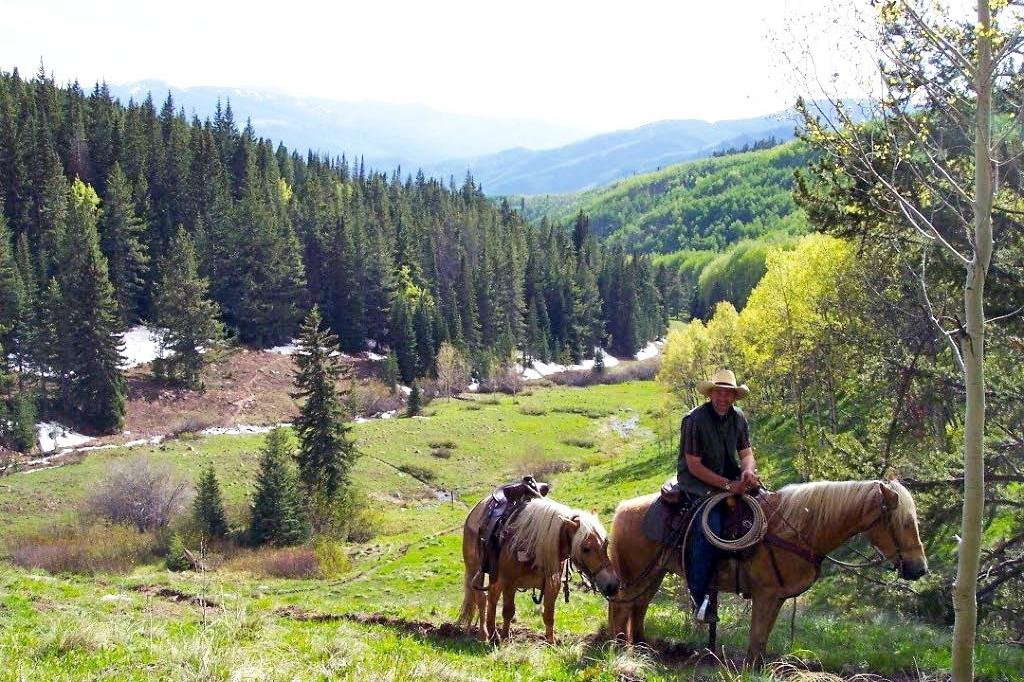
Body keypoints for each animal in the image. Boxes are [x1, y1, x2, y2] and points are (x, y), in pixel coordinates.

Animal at [462, 497, 618, 638]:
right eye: (585, 548)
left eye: (605, 544)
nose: (612, 585)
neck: (532, 546)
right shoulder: (509, 583)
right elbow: (508, 612)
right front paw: (505, 639)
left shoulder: (552, 584)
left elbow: (549, 614)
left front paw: (551, 643)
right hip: (476, 571)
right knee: (482, 599)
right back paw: (484, 634)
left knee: (492, 597)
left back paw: (493, 634)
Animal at [606, 477, 929, 659]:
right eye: (904, 522)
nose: (920, 569)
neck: (796, 530)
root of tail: (623, 509)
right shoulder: (765, 595)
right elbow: (757, 640)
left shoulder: (776, 598)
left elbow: (762, 641)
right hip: (637, 575)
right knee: (621, 606)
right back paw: (619, 649)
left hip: (654, 574)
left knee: (639, 606)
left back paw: (642, 647)